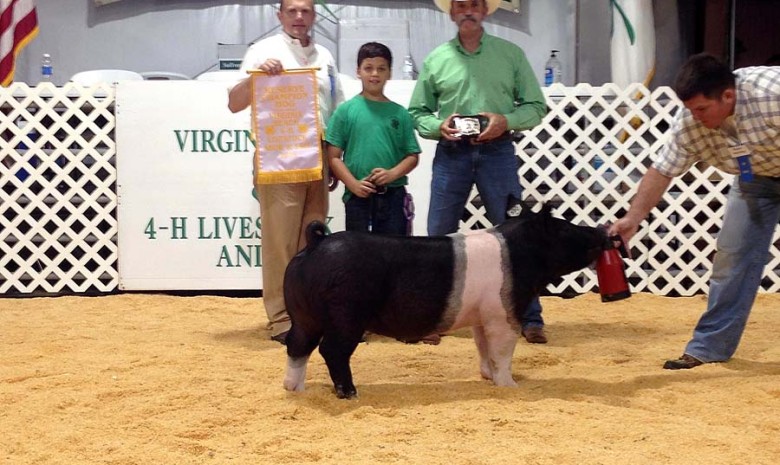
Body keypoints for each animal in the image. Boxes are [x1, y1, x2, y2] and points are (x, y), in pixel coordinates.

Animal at [282, 203, 608, 398]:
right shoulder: (503, 314)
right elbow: (502, 352)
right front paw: (510, 385)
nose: (602, 231)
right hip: (346, 315)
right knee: (331, 351)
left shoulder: (481, 317)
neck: (519, 253)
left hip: (303, 316)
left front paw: (488, 378)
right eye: (566, 228)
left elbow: (483, 348)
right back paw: (350, 393)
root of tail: (317, 243)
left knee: (297, 346)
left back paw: (295, 390)